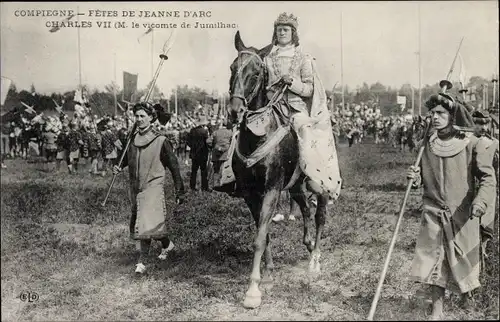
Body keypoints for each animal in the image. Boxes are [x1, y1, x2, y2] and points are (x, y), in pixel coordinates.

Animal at [228, 30, 330, 310]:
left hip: (318, 184)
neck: (258, 136)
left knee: (319, 215)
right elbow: (264, 234)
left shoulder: (272, 189)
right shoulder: (250, 193)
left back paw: (315, 261)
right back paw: (308, 245)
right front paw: (269, 274)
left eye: (256, 72)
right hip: (295, 186)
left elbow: (259, 237)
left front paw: (253, 291)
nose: (235, 111)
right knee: (305, 209)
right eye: (232, 68)